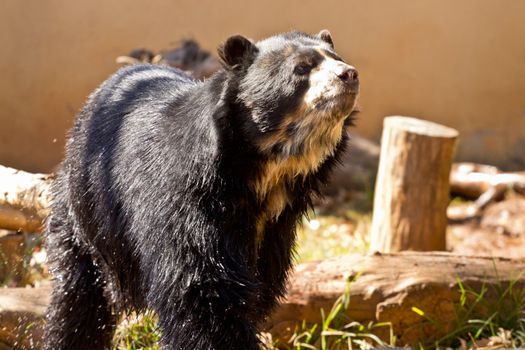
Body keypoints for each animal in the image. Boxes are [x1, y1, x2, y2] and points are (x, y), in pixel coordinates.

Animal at [43, 30, 358, 350]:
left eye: (337, 58)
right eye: (302, 68)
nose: (349, 74)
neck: (263, 174)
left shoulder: (274, 231)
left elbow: (258, 288)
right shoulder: (187, 201)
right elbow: (201, 290)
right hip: (86, 213)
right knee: (79, 299)